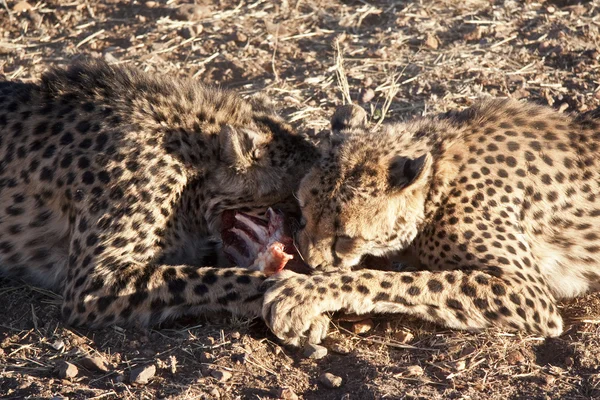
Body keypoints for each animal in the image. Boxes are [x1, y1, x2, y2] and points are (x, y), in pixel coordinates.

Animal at [264, 98, 600, 346]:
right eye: (304, 211)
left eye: (345, 237)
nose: (311, 262)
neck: (440, 178)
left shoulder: (529, 294)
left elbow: (404, 281)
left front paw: (299, 294)